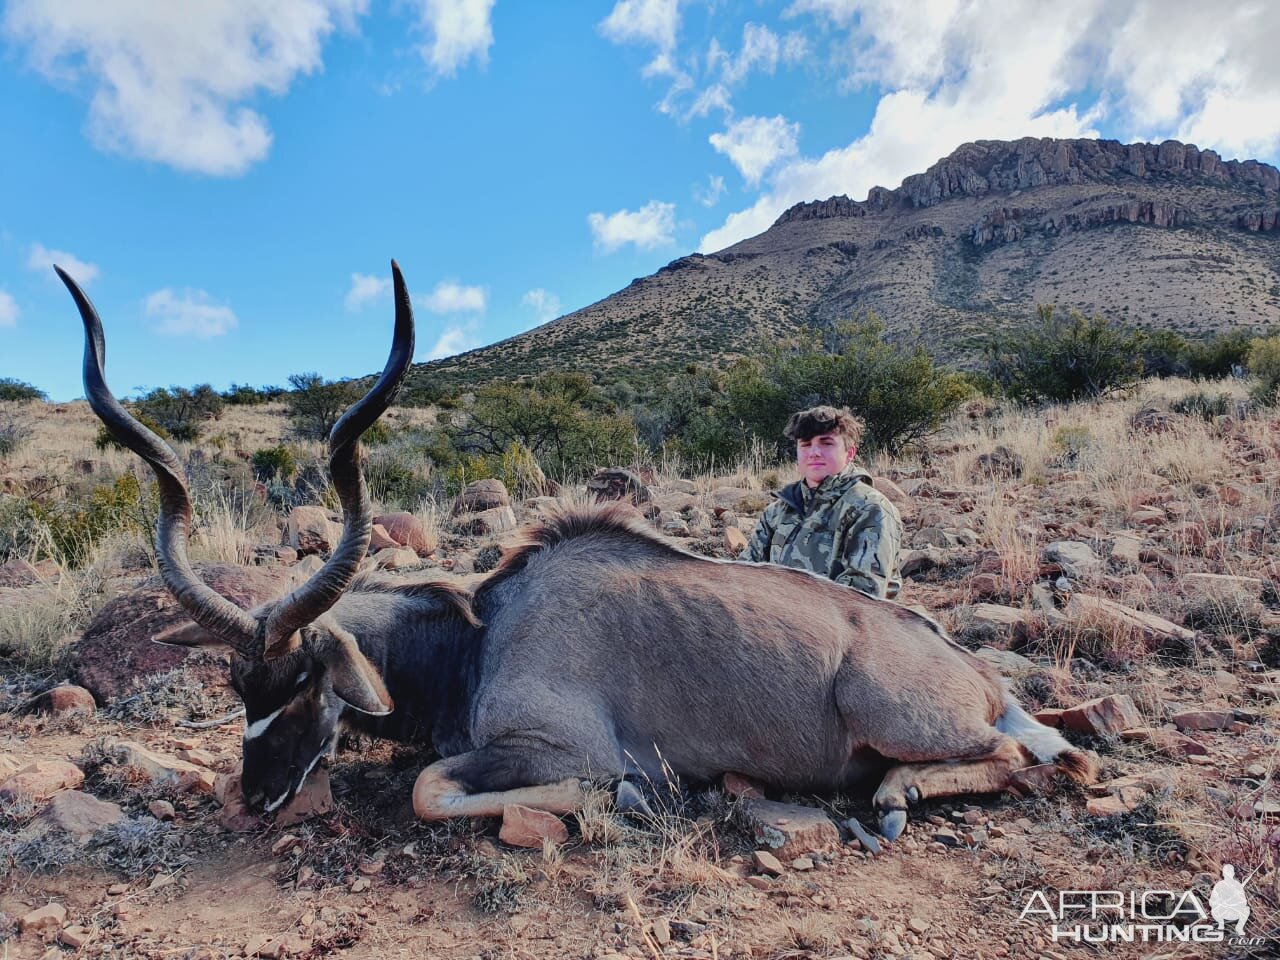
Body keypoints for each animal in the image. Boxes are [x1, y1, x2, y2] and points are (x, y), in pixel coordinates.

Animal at [64, 263, 1095, 839]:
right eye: (240, 685)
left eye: (309, 678)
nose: (258, 797)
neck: (477, 637)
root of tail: (974, 673)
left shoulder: (561, 750)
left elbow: (432, 789)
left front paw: (630, 802)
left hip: (907, 720)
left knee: (1036, 760)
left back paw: (893, 797)